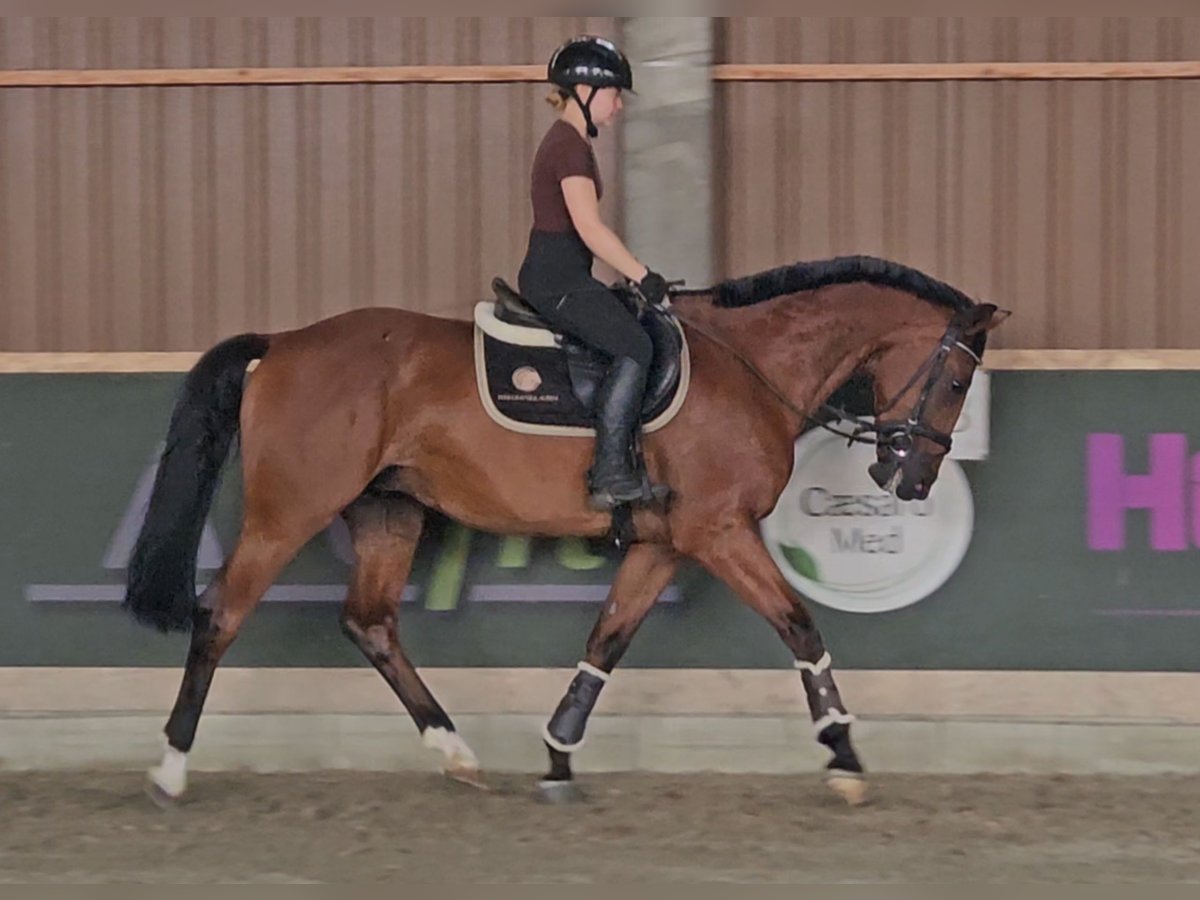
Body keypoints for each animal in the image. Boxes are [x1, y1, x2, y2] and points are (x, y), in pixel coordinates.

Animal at [121, 255, 1008, 811]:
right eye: (956, 381)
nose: (910, 482)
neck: (749, 363)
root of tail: (283, 344)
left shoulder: (662, 543)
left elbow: (607, 639)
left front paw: (556, 754)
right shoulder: (719, 532)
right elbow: (801, 626)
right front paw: (844, 757)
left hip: (388, 511)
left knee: (369, 622)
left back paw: (456, 753)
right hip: (289, 512)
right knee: (221, 615)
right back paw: (170, 770)